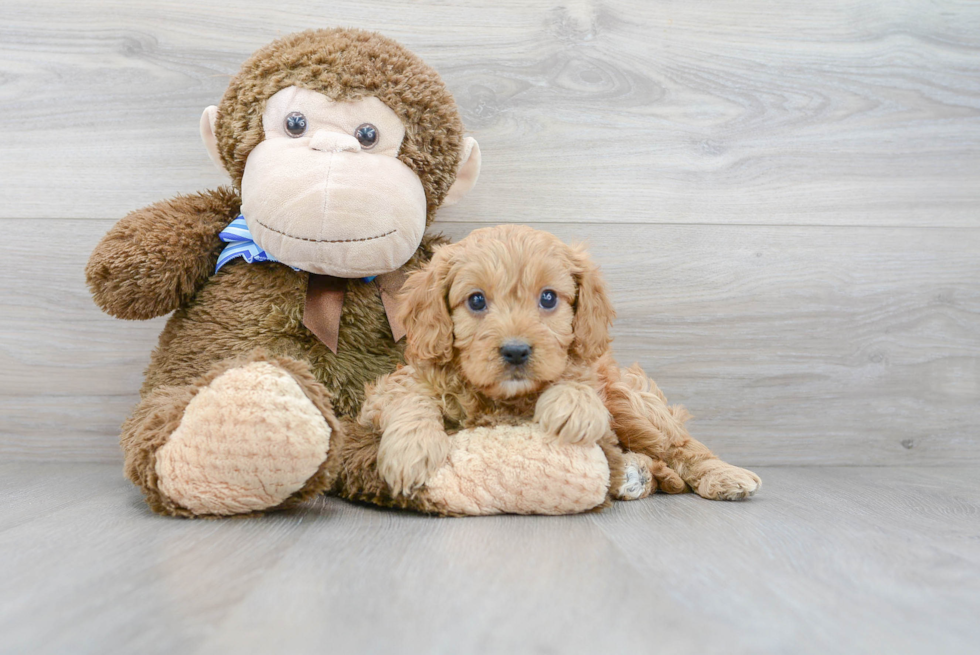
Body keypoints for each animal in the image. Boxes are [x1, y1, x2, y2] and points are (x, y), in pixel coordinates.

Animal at [344, 223, 764, 510]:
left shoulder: (592, 375)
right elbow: (413, 399)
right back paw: (637, 474)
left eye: (548, 298)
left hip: (632, 402)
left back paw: (722, 475)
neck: (505, 399)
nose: (515, 351)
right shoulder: (390, 388)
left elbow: (578, 380)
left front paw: (572, 405)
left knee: (678, 444)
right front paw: (411, 451)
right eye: (476, 301)